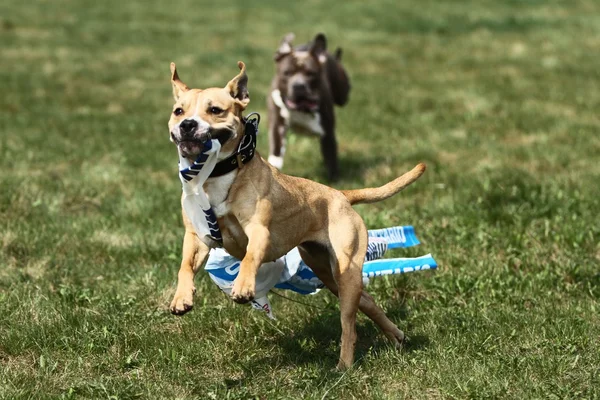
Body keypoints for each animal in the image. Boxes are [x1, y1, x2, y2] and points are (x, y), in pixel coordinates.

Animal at [166, 60, 424, 368]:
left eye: (215, 110)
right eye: (178, 111)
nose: (187, 125)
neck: (217, 174)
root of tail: (341, 195)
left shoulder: (258, 231)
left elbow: (250, 257)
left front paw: (243, 286)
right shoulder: (197, 237)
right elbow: (184, 266)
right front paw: (181, 298)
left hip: (346, 269)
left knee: (348, 324)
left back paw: (344, 365)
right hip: (325, 269)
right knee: (368, 302)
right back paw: (396, 336)